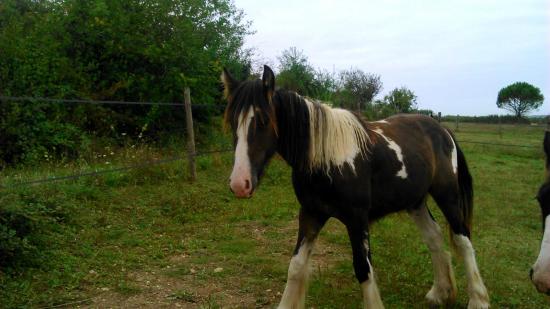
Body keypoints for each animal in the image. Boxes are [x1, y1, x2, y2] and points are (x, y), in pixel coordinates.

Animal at [222, 65, 490, 308]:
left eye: (264, 120)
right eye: (233, 122)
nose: (239, 183)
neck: (327, 159)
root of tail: (442, 130)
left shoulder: (357, 219)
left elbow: (364, 269)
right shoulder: (311, 214)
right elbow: (296, 266)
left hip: (447, 195)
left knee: (463, 239)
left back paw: (478, 299)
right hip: (416, 201)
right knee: (434, 238)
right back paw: (439, 293)